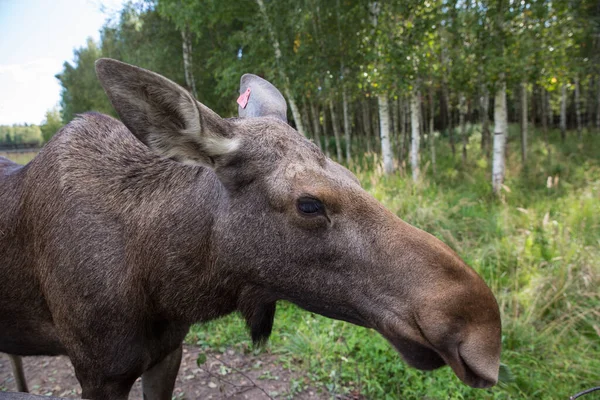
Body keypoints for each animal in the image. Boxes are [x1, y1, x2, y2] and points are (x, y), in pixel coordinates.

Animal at [0, 59, 502, 400]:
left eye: (352, 176)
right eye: (308, 203)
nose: (483, 330)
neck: (163, 281)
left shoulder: (167, 352)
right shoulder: (99, 372)